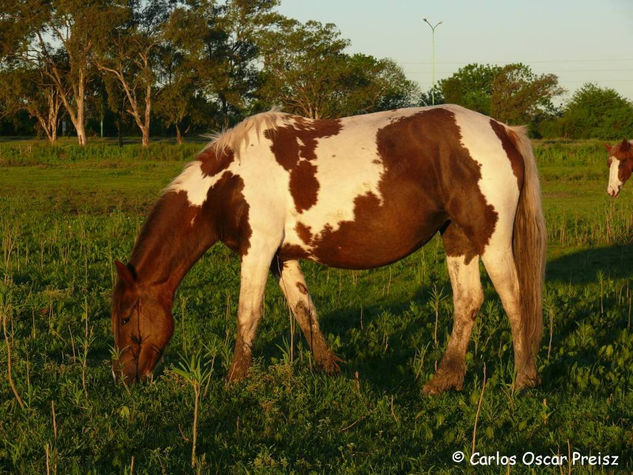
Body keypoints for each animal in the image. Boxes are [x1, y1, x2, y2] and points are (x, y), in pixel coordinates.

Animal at [111, 106, 544, 396]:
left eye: (126, 316)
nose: (125, 379)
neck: (227, 181)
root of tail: (503, 130)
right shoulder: (282, 257)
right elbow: (305, 311)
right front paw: (329, 366)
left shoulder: (257, 250)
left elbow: (247, 315)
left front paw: (235, 380)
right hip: (458, 239)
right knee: (468, 302)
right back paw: (444, 381)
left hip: (491, 239)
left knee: (514, 300)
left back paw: (521, 380)